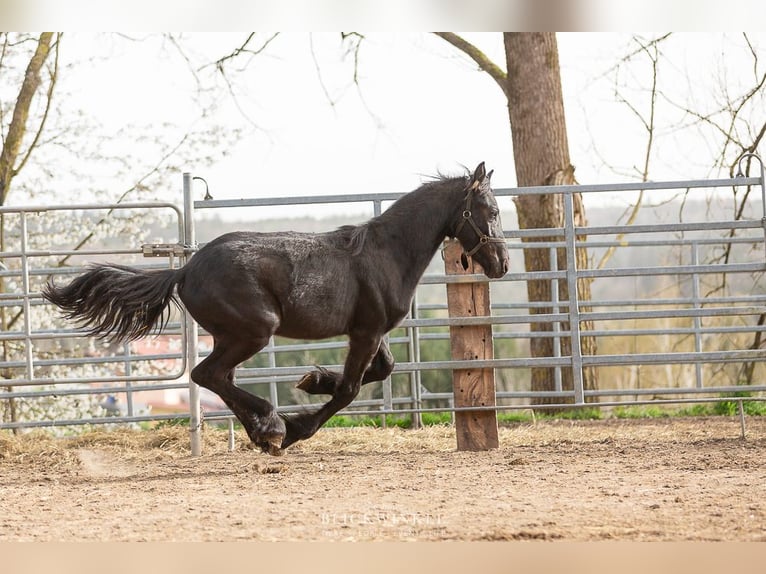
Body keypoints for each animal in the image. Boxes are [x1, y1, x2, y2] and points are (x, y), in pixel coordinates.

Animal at [42, 162, 510, 455]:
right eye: (490, 210)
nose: (502, 264)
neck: (386, 253)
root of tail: (186, 268)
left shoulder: (371, 330)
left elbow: (382, 370)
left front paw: (312, 379)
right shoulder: (366, 332)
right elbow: (350, 389)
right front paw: (298, 426)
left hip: (233, 336)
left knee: (219, 378)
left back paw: (261, 432)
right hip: (254, 330)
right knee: (207, 375)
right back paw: (272, 428)